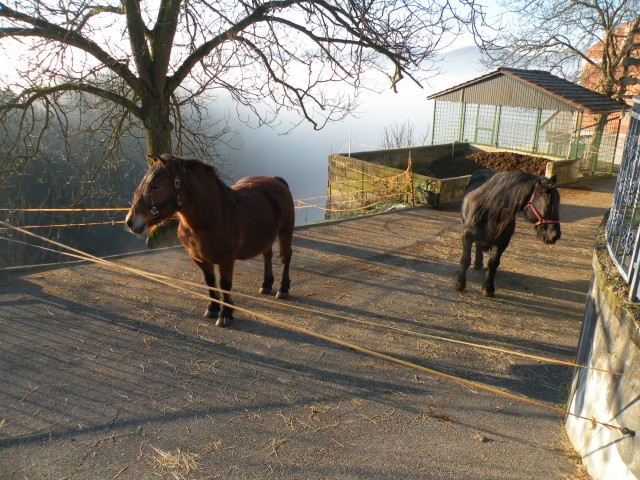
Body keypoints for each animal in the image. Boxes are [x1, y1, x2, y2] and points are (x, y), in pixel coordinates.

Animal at [125, 154, 296, 326]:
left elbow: (225, 284)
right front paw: (213, 308)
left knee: (285, 257)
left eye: (156, 186)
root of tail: (276, 181)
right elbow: (210, 282)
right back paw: (266, 285)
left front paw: (226, 314)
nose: (130, 221)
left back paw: (282, 289)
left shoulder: (226, 259)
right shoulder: (199, 258)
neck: (212, 216)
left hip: (285, 232)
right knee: (267, 256)